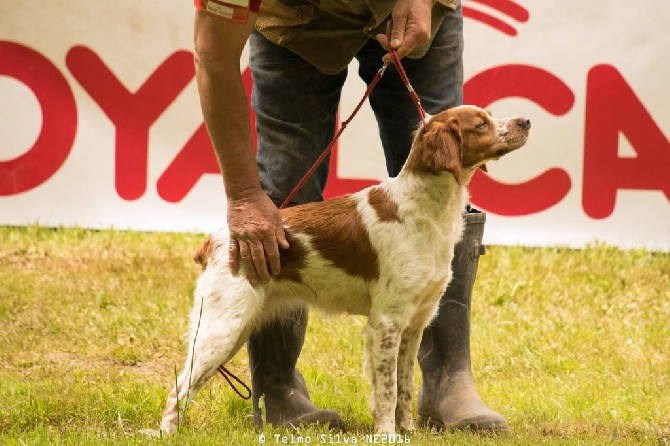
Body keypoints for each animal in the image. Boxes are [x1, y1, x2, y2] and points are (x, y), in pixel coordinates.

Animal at [159, 103, 532, 432]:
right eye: (480, 124)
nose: (526, 120)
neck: (425, 210)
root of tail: (217, 240)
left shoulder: (414, 323)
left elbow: (405, 386)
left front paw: (408, 430)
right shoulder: (386, 322)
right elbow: (386, 391)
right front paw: (387, 435)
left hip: (239, 326)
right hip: (221, 329)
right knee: (178, 390)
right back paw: (167, 434)